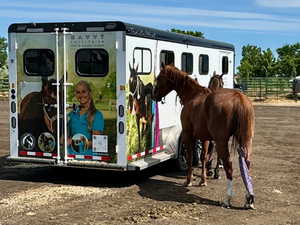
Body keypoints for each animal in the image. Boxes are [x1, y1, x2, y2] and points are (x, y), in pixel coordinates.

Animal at [154, 65, 254, 209]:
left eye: (159, 77)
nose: (153, 94)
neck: (193, 96)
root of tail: (238, 97)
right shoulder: (205, 138)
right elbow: (203, 157)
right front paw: (203, 179)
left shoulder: (188, 134)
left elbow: (190, 156)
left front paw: (189, 180)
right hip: (245, 140)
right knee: (246, 162)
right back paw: (249, 200)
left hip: (221, 141)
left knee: (229, 165)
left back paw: (227, 199)